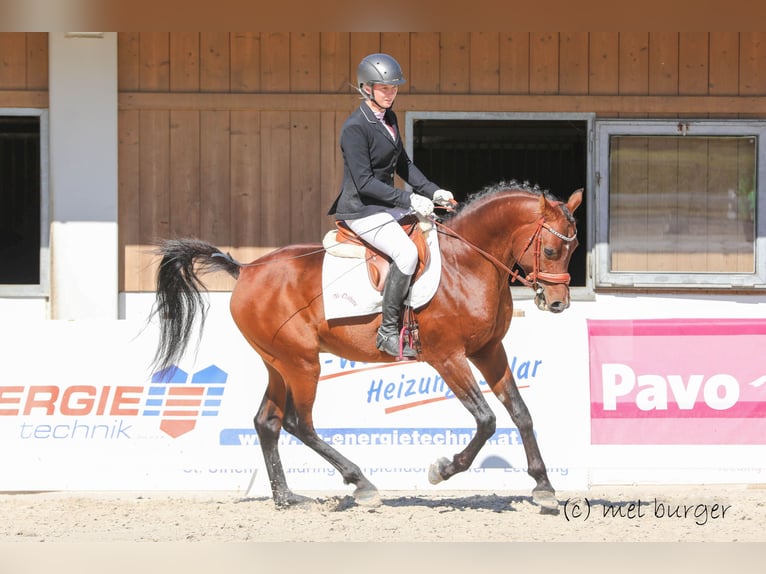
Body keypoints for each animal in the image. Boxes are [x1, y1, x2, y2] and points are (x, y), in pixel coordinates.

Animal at [150, 181, 583, 513]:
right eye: (549, 250)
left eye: (573, 250)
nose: (557, 303)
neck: (468, 263)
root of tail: (246, 270)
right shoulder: (448, 357)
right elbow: (487, 419)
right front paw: (443, 469)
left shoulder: (488, 350)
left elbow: (520, 413)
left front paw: (544, 487)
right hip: (303, 364)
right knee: (299, 423)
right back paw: (361, 484)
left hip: (280, 363)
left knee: (267, 422)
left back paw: (288, 498)